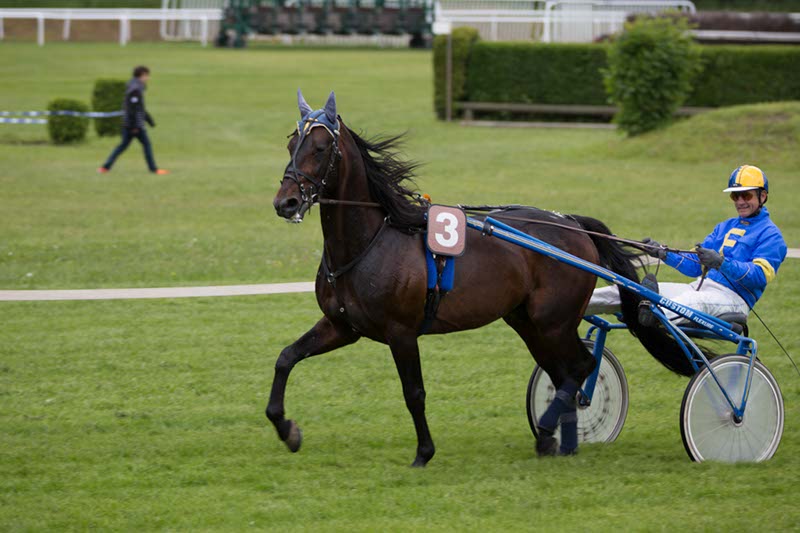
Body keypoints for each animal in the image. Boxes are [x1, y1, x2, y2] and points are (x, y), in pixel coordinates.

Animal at [268, 90, 689, 466]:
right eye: (290, 144)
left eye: (320, 147)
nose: (286, 202)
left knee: (581, 368)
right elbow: (286, 357)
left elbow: (414, 392)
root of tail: (572, 224)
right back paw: (561, 442)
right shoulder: (342, 326)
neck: (370, 242)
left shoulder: (401, 332)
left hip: (553, 322)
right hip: (529, 323)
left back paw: (548, 431)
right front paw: (287, 430)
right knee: (563, 374)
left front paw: (424, 453)